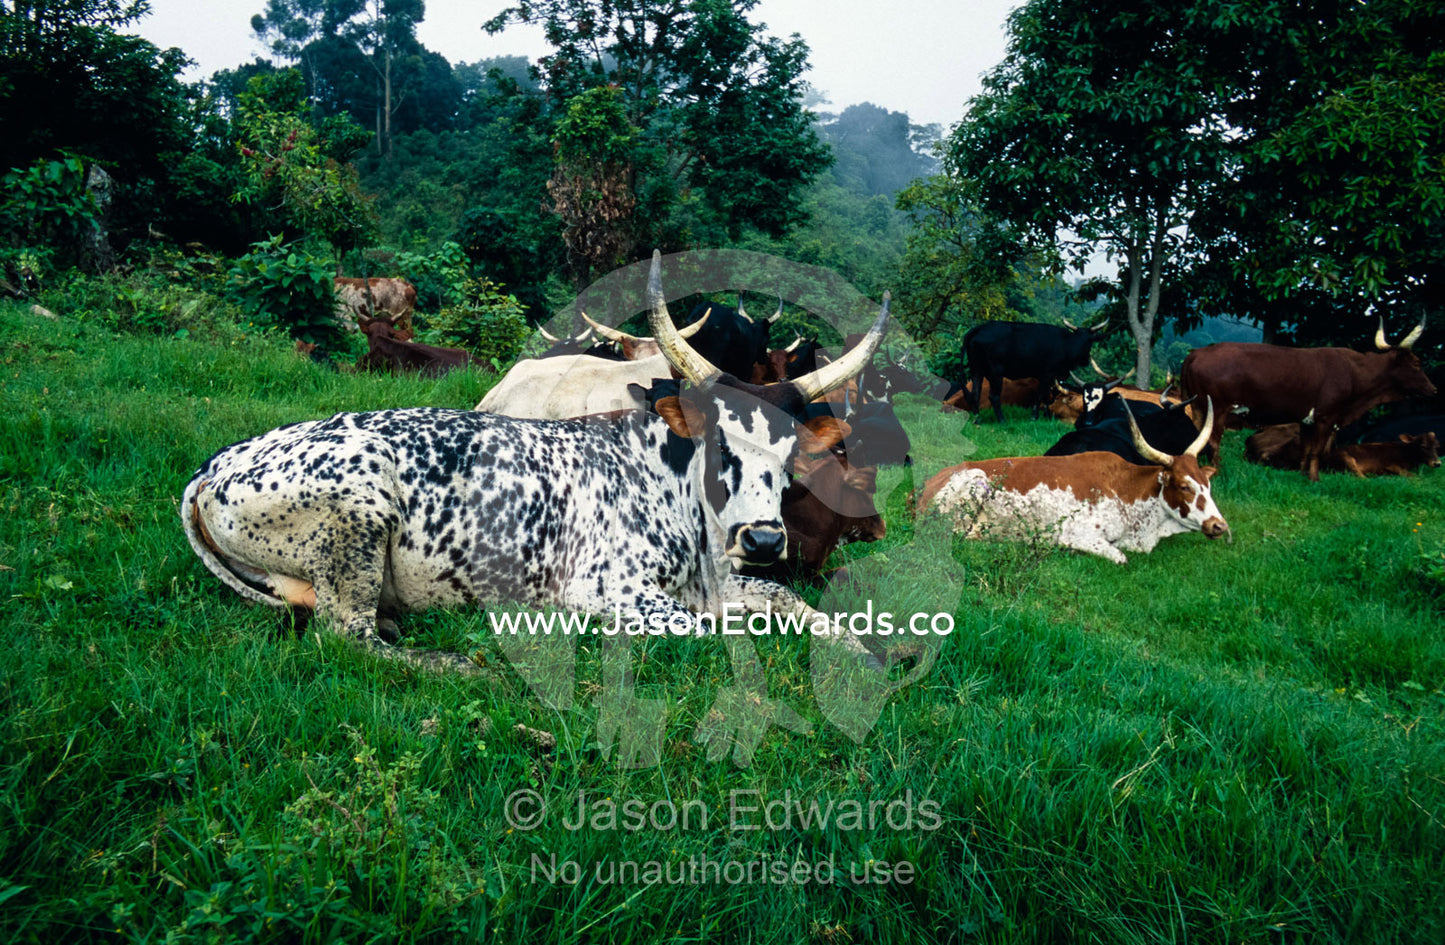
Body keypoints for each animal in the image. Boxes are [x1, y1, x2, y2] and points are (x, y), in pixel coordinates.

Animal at [182, 252, 890, 681]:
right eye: (720, 443)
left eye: (792, 450)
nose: (765, 540)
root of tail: (211, 469)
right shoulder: (609, 591)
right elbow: (712, 635)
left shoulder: (729, 583)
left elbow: (801, 607)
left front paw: (867, 653)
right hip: (358, 516)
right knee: (347, 636)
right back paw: (457, 661)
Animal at [920, 399, 1225, 564]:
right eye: (1184, 486)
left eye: (1208, 486)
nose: (1219, 525)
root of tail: (926, 485)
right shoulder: (1080, 534)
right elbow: (1120, 557)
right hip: (975, 482)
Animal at [955, 317, 1110, 422]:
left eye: (1090, 340)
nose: (1085, 360)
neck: (1067, 344)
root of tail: (980, 328)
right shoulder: (1047, 374)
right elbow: (1041, 395)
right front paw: (1035, 416)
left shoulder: (1051, 377)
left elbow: (1048, 396)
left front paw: (1046, 416)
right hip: (995, 374)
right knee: (993, 396)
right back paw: (1002, 420)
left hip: (976, 371)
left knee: (975, 394)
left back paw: (977, 419)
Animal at [1181, 316, 1435, 480]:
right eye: (1416, 363)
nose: (1433, 390)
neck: (1355, 372)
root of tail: (1198, 352)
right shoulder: (1326, 417)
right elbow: (1316, 450)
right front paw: (1315, 480)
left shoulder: (1307, 420)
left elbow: (1306, 449)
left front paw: (1303, 475)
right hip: (1218, 410)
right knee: (1213, 442)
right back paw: (1217, 472)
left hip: (1199, 408)